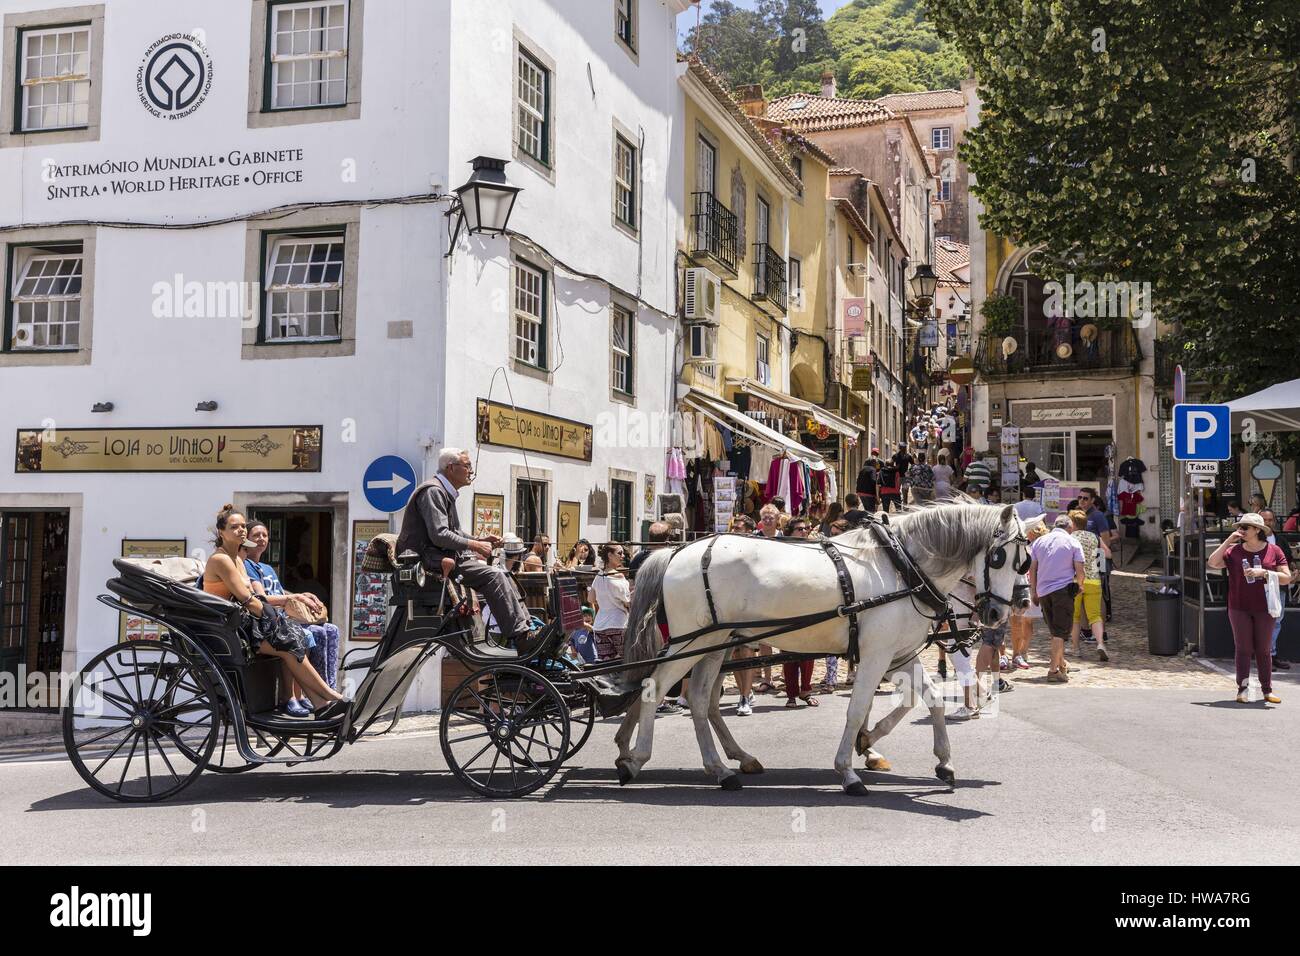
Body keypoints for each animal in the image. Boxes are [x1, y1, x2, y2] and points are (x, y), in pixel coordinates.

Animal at [608, 502, 1024, 790]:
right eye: (999, 557)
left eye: (1025, 562)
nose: (1000, 612)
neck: (902, 567)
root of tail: (677, 552)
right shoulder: (876, 655)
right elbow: (856, 710)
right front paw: (849, 770)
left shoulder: (898, 655)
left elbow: (930, 700)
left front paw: (939, 762)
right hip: (692, 641)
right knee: (655, 687)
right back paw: (635, 760)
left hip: (714, 642)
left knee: (698, 699)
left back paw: (723, 767)